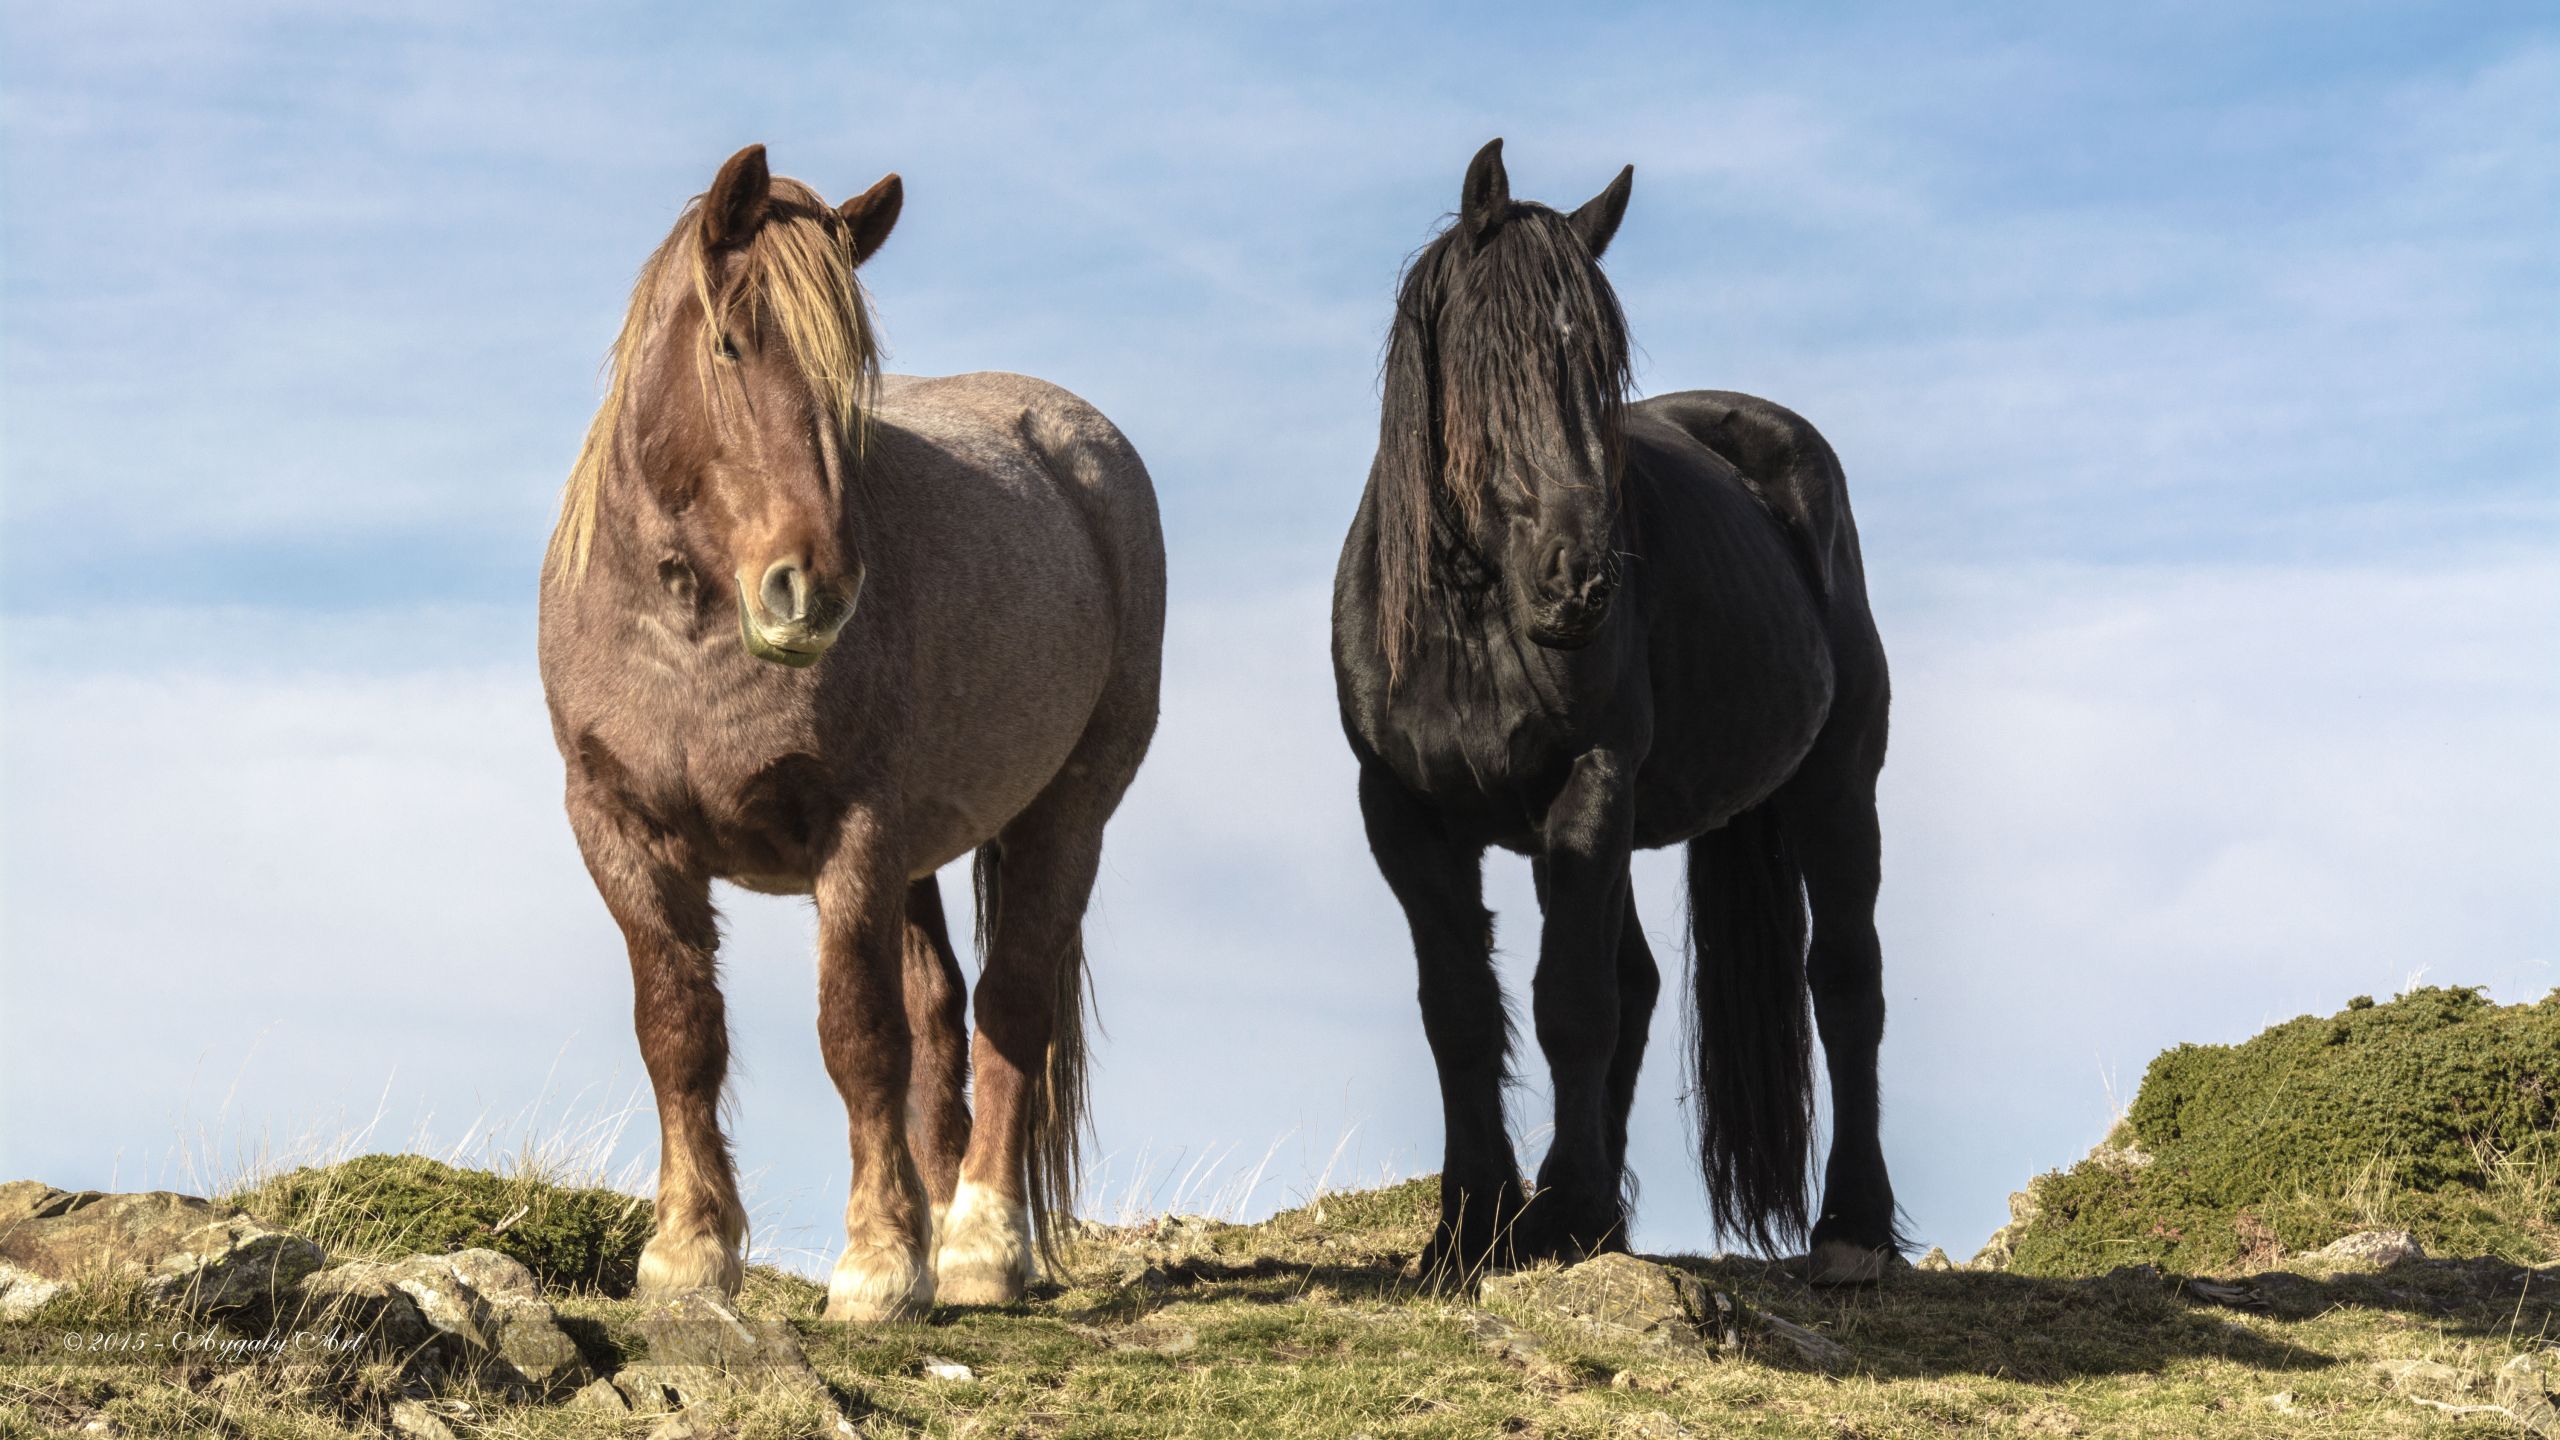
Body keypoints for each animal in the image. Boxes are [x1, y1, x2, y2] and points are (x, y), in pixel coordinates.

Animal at [550, 142, 1172, 1311]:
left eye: (854, 382)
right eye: (731, 342)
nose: (817, 591)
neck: (687, 642)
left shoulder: (856, 832)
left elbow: (857, 1035)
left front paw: (879, 1264)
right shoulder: (620, 830)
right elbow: (679, 1030)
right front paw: (689, 1251)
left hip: (1065, 819)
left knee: (1010, 1003)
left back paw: (977, 1248)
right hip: (923, 859)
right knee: (941, 1014)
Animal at [1341, 137, 1904, 1276]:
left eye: (1602, 369)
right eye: (1488, 360)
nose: (1581, 583)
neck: (1466, 622)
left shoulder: (1589, 786)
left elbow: (1571, 1004)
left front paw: (1564, 1215)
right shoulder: (1404, 816)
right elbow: (1463, 1013)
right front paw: (1471, 1229)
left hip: (1834, 788)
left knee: (1845, 981)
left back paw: (1852, 1230)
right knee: (1643, 983)